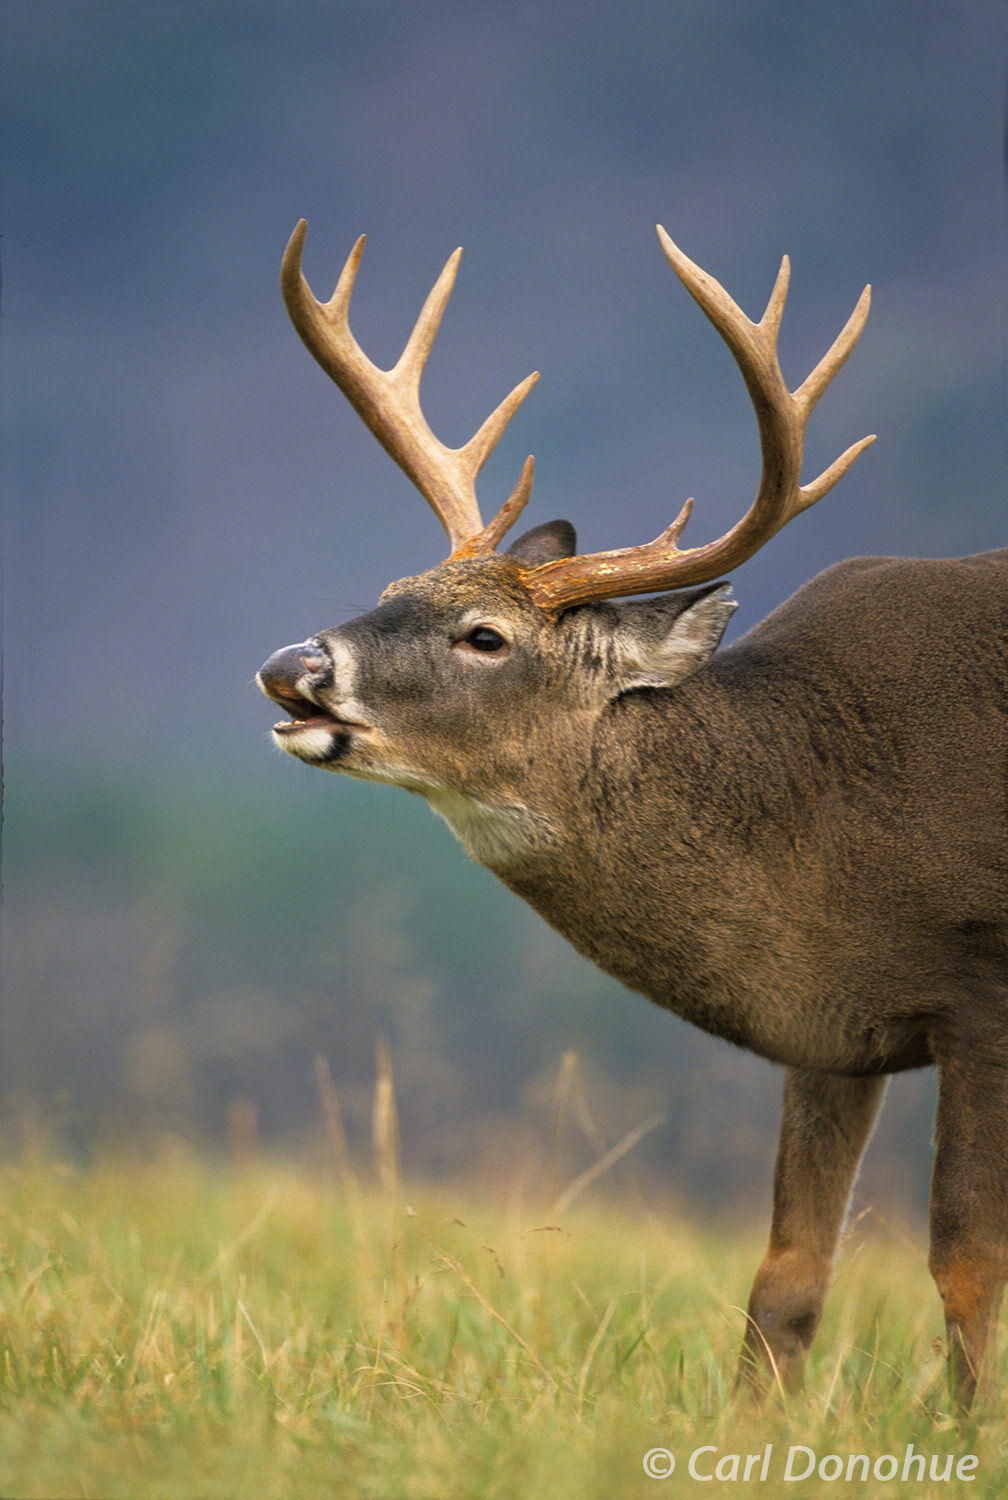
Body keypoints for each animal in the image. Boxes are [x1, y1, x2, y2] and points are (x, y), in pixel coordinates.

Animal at [259, 219, 1008, 1404]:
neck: (821, 811)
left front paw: (966, 1430)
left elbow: (966, 1263)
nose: (294, 666)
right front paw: (751, 1424)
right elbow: (788, 1273)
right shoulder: (833, 1024)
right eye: (390, 587)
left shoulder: (983, 987)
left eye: (485, 636)